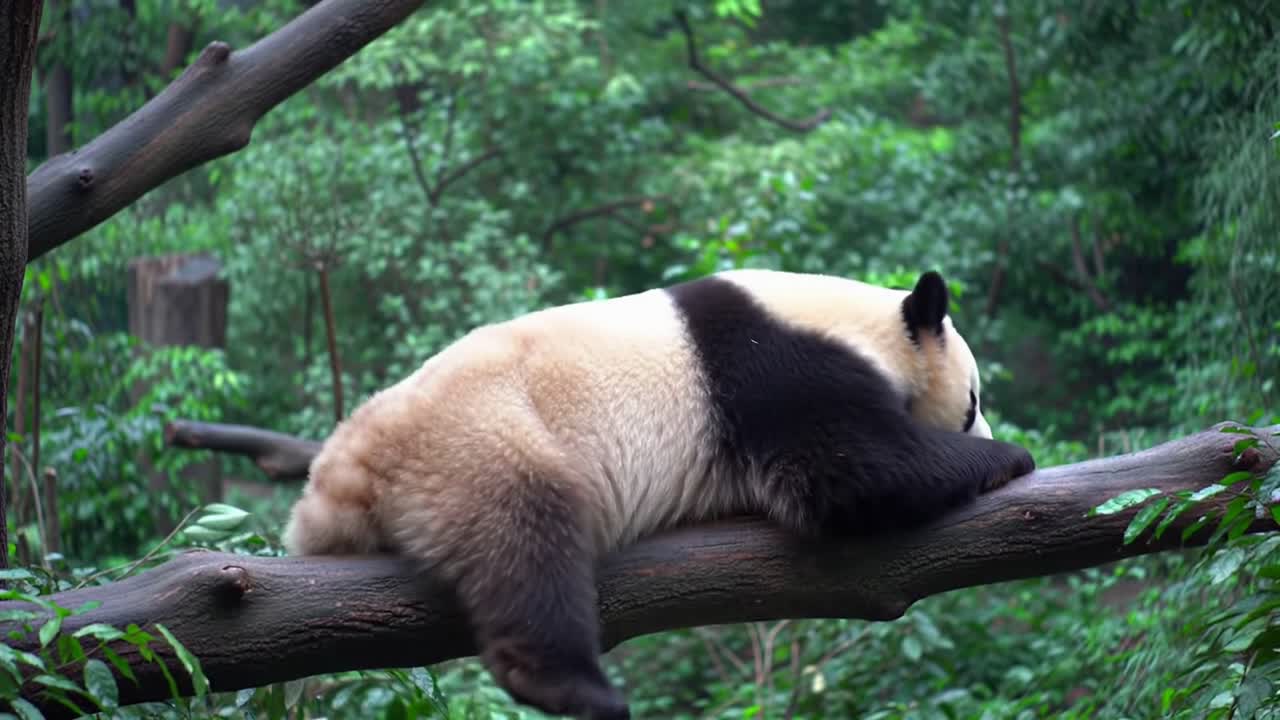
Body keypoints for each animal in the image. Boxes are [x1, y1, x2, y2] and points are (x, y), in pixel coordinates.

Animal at [282, 268, 1036, 720]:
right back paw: (578, 689)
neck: (849, 319)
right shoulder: (774, 369)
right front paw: (1009, 458)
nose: (986, 425)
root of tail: (341, 478)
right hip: (475, 442)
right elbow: (851, 473)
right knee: (527, 539)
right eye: (973, 400)